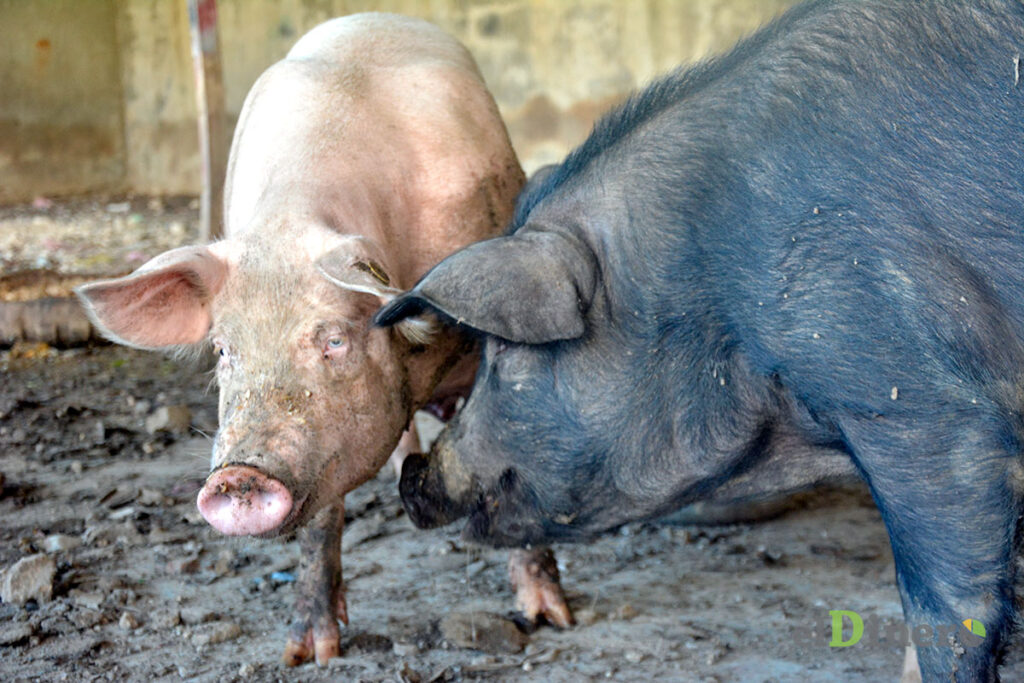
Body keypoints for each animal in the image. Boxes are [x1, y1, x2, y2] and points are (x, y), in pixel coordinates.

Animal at [74, 13, 571, 666]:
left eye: (334, 341)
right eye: (224, 350)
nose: (239, 476)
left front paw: (550, 619)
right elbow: (320, 520)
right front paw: (310, 653)